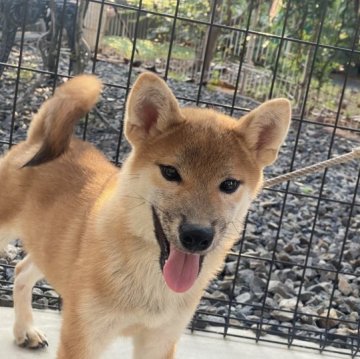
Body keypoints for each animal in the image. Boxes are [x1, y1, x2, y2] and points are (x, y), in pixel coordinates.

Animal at [0, 71, 290, 358]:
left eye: (229, 184)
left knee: (21, 271)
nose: (197, 236)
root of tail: (37, 139)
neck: (151, 282)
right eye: (170, 172)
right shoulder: (84, 336)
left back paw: (25, 330)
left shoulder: (160, 340)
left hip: (47, 249)